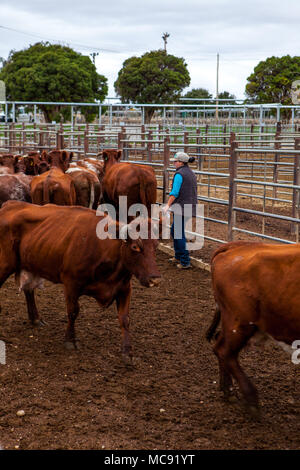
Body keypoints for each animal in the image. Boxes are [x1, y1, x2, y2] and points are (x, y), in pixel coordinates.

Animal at [0, 200, 162, 362]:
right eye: (135, 247)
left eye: (155, 246)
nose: (155, 278)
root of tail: (10, 204)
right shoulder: (71, 283)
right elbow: (73, 311)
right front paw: (70, 340)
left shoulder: (124, 288)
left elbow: (124, 318)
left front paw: (127, 351)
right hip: (5, 265)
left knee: (28, 290)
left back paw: (35, 319)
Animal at [207, 242, 300, 414]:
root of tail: (237, 246)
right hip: (239, 322)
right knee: (224, 351)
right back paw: (250, 398)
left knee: (219, 343)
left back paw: (227, 390)